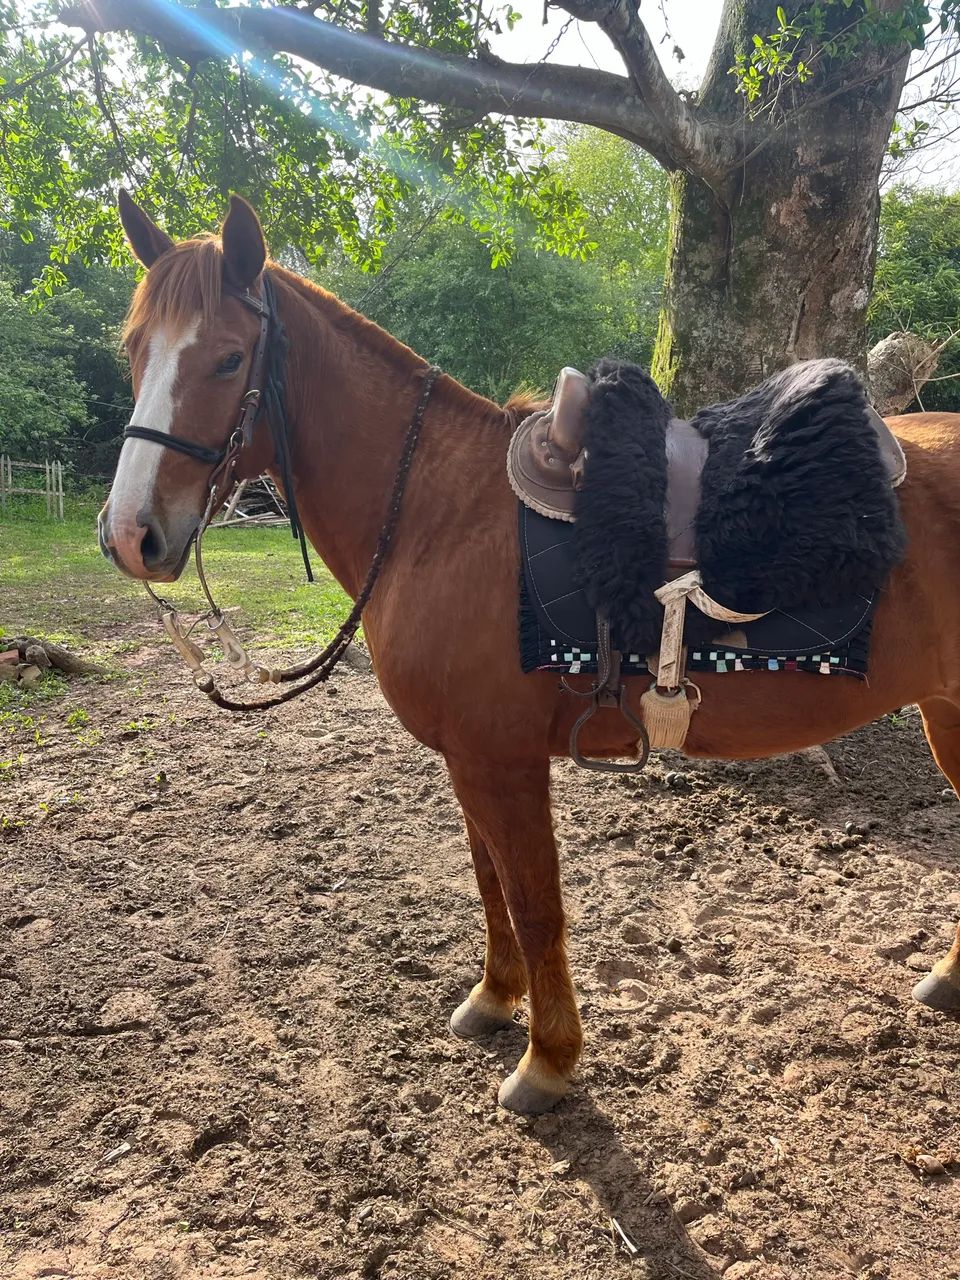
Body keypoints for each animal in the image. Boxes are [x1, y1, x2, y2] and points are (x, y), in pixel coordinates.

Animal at [99, 192, 960, 1115]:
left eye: (228, 359)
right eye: (134, 349)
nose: (130, 536)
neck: (437, 512)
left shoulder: (503, 760)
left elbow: (535, 902)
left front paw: (547, 1059)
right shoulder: (470, 758)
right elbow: (492, 887)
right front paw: (493, 998)